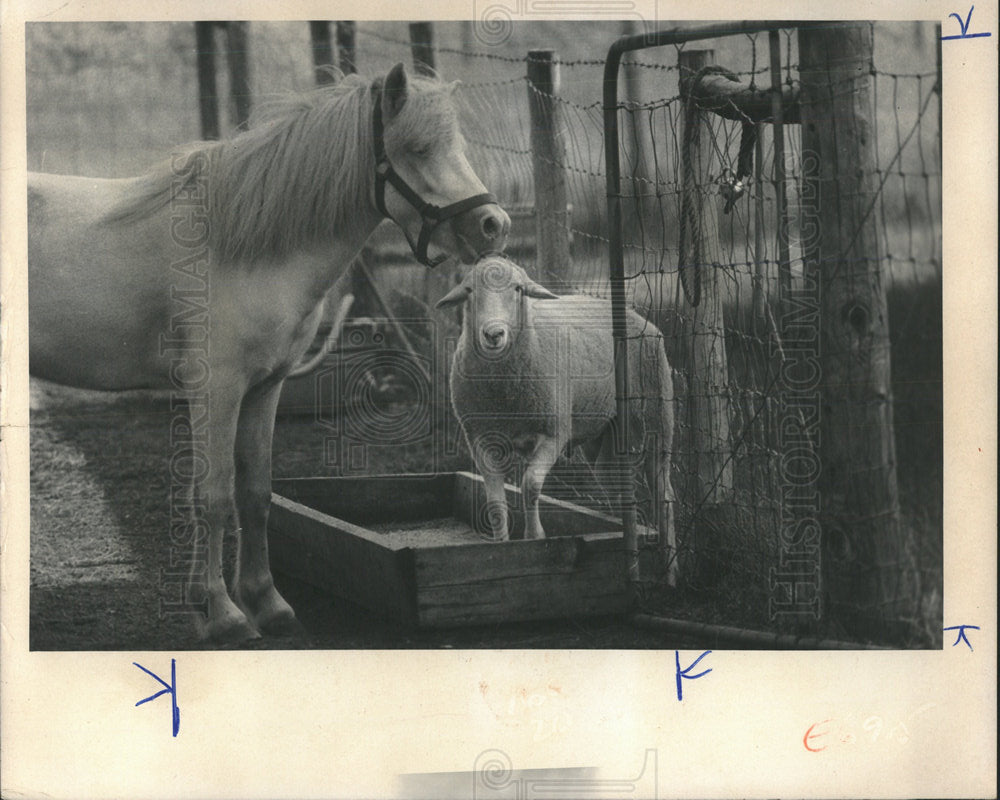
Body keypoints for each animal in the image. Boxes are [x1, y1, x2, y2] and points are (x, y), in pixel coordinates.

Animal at [438, 258, 680, 588]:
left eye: (518, 289)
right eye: (469, 291)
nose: (493, 335)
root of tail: (642, 319)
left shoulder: (554, 433)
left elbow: (530, 485)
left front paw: (534, 537)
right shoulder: (481, 439)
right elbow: (495, 504)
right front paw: (500, 547)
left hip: (656, 419)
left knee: (664, 494)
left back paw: (671, 573)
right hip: (605, 437)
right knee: (616, 486)